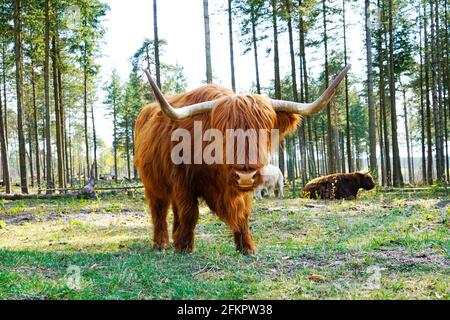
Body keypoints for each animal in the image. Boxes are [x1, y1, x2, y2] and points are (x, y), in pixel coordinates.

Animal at [135, 65, 350, 255]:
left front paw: (247, 247)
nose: (245, 175)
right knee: (159, 210)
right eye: (221, 133)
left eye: (264, 132)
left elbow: (243, 214)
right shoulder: (183, 183)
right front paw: (184, 247)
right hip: (153, 184)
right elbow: (190, 213)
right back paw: (161, 243)